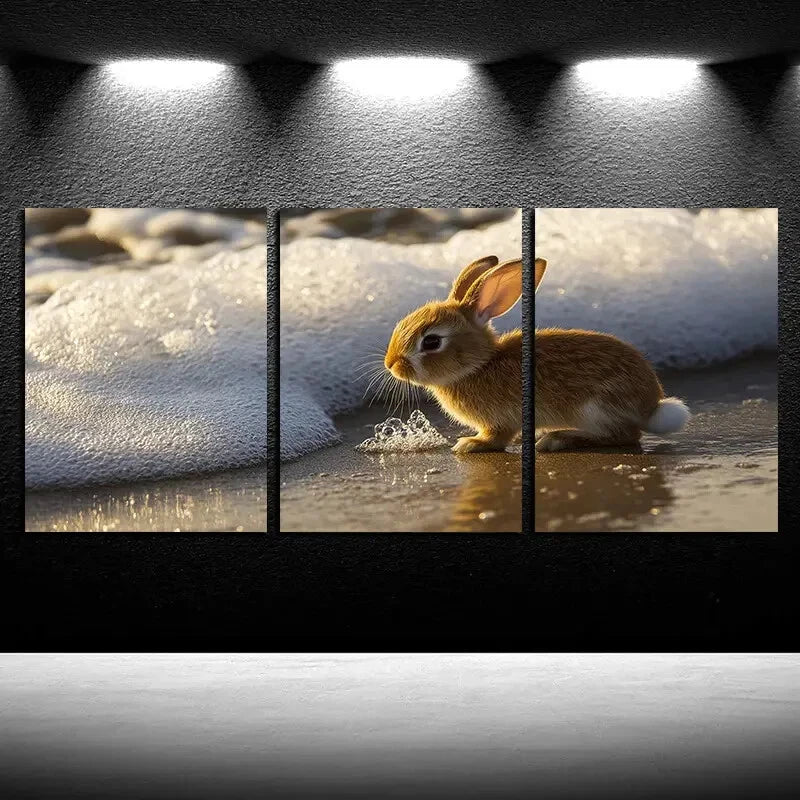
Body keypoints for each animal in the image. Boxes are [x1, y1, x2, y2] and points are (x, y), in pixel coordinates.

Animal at [384, 255, 522, 453]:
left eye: (431, 342)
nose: (390, 364)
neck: (478, 366)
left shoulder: (503, 420)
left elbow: (498, 436)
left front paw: (470, 443)